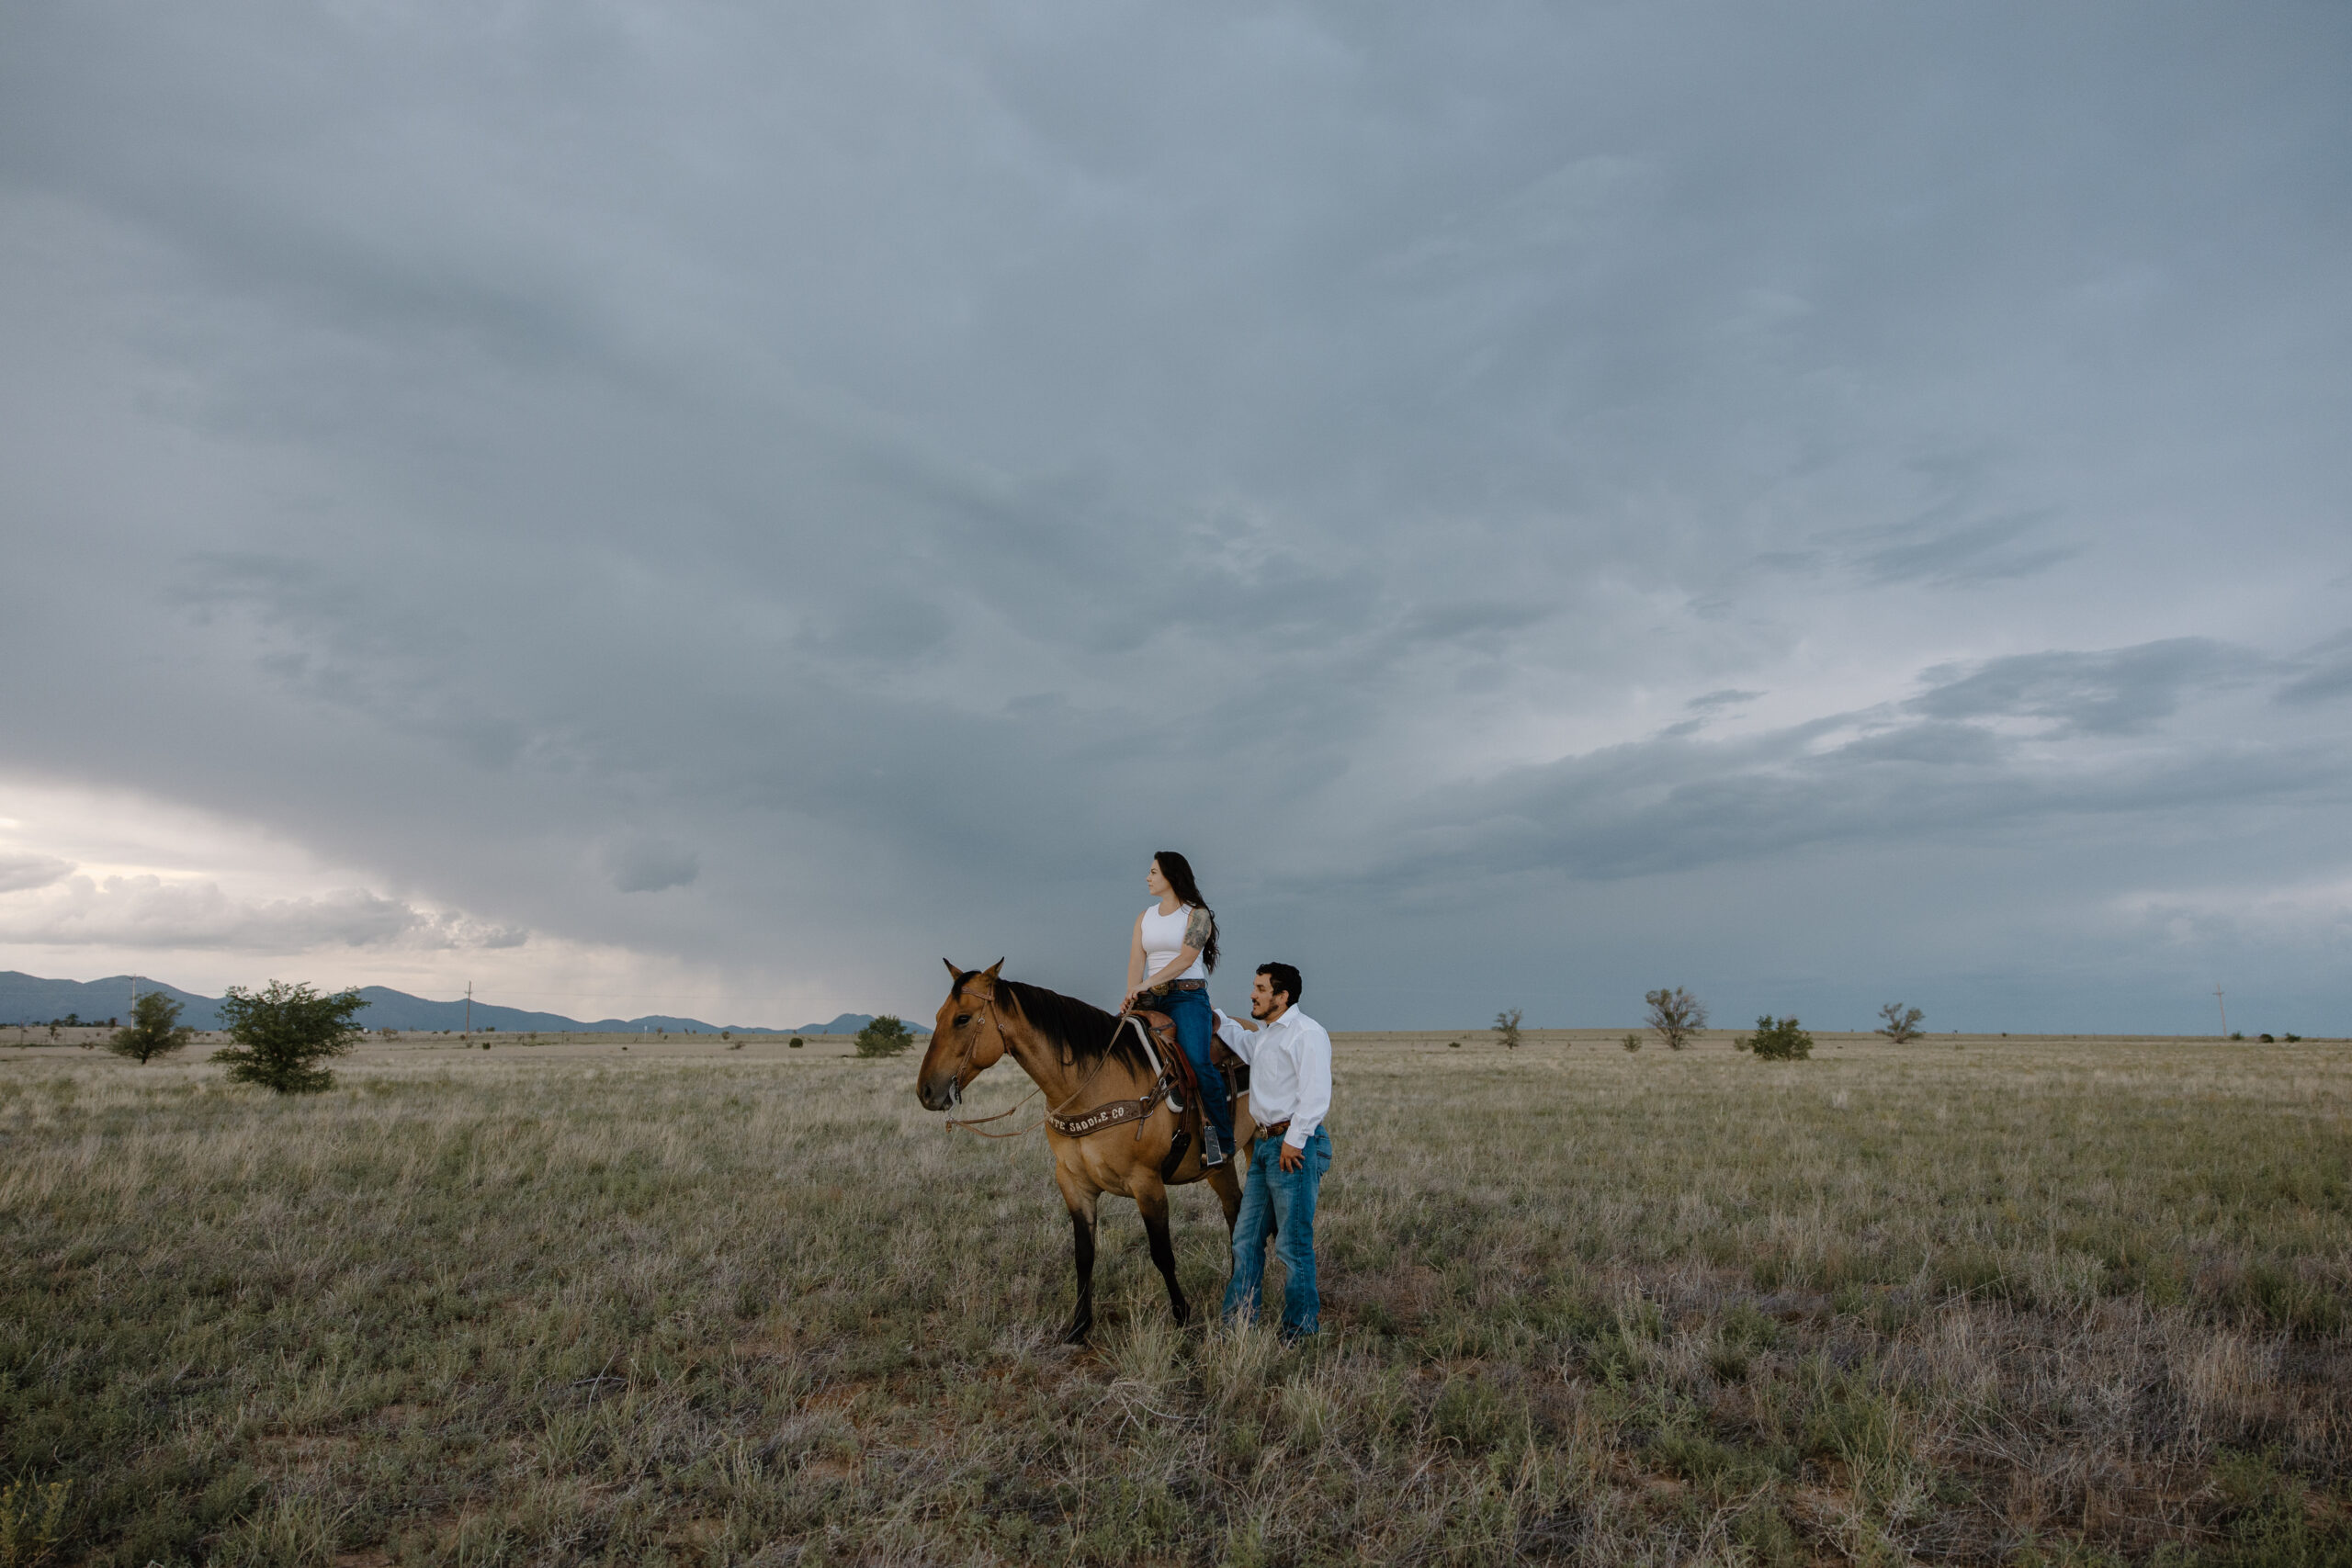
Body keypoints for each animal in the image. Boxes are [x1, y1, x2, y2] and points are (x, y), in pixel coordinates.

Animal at [912, 964, 1250, 1344]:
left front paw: (1181, 1315)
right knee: (1234, 1208)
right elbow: (1084, 1254)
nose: (926, 1091)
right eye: (938, 1016)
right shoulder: (1073, 1183)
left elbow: (1162, 1253)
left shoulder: (1147, 1184)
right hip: (1220, 1165)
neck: (1090, 1085)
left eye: (963, 1018)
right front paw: (1078, 1326)